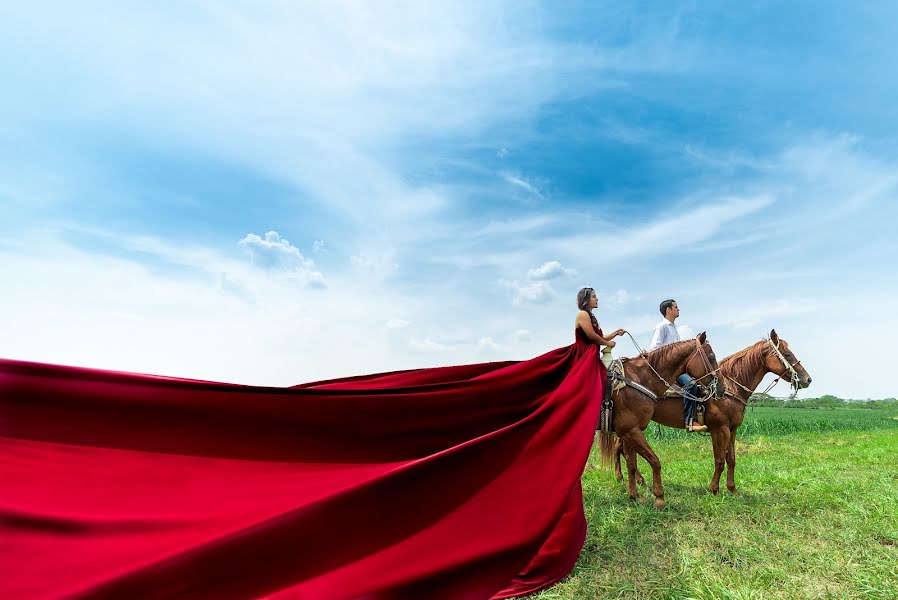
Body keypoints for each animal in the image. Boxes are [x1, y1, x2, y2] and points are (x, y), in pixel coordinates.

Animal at [600, 332, 724, 510]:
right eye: (712, 356)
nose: (722, 387)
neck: (641, 377)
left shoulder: (631, 430)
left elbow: (632, 464)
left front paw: (634, 496)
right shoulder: (630, 430)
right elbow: (655, 460)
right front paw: (659, 497)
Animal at [608, 330, 812, 494]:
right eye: (787, 354)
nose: (807, 379)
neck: (730, 386)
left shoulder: (732, 430)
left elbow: (732, 459)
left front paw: (732, 489)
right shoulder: (719, 429)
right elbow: (720, 460)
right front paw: (714, 489)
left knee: (621, 448)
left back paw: (633, 480)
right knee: (620, 448)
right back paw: (624, 478)